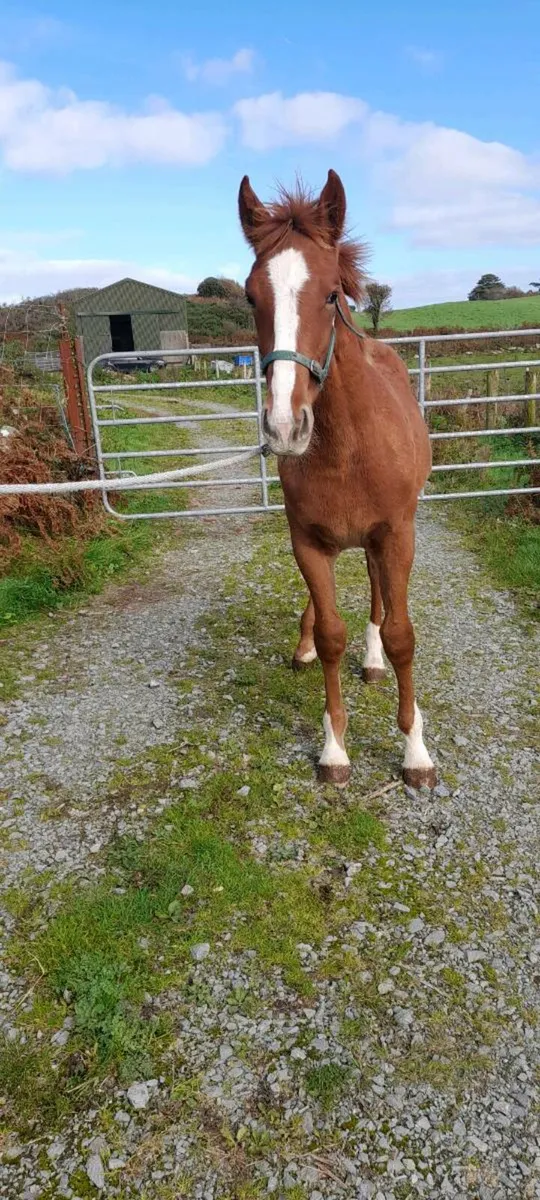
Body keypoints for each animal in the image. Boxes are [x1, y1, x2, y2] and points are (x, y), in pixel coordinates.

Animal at [239, 169, 437, 790]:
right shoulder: (306, 540)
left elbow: (401, 635)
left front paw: (415, 752)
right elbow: (330, 633)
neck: (346, 449)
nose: (284, 425)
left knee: (377, 596)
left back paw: (372, 661)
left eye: (331, 294)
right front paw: (334, 748)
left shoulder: (396, 534)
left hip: (381, 540)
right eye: (251, 295)